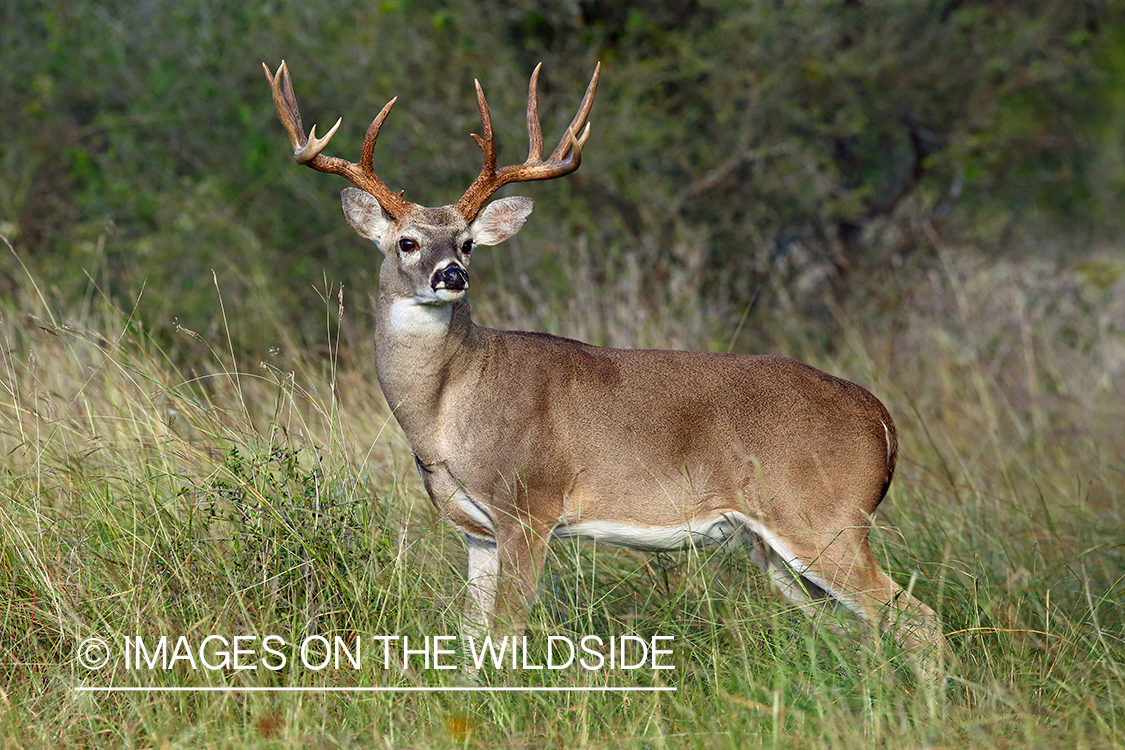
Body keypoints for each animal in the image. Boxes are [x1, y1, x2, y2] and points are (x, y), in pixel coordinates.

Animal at [263, 60, 949, 679]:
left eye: (466, 242)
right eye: (406, 241)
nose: (451, 275)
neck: (448, 409)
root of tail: (882, 419)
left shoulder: (530, 505)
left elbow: (507, 633)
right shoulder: (476, 531)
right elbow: (471, 640)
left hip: (823, 517)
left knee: (917, 620)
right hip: (776, 545)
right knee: (852, 629)